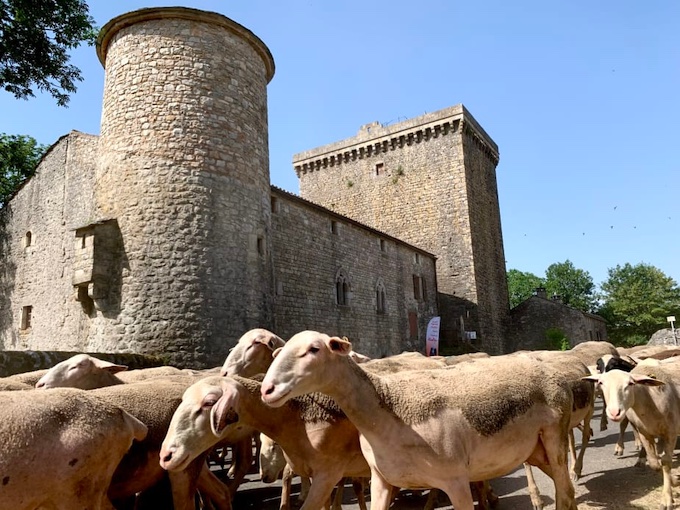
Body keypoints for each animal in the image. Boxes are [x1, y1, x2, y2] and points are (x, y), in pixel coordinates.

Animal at [260, 330, 580, 510]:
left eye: (314, 350)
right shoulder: (381, 480)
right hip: (536, 451)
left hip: (555, 440)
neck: (391, 412)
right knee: (568, 493)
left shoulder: (456, 481)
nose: (267, 390)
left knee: (564, 495)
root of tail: (551, 372)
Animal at [580, 360, 680, 508]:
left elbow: (666, 462)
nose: (614, 412)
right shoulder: (645, 432)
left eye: (630, 384)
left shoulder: (671, 432)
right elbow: (654, 463)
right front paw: (674, 480)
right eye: (601, 383)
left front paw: (667, 498)